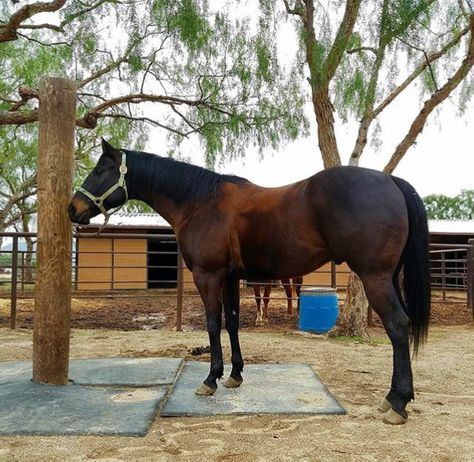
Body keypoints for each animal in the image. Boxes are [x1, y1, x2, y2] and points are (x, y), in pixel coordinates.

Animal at [68, 139, 432, 424]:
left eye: (99, 170)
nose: (73, 209)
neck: (199, 202)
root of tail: (391, 181)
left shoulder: (208, 276)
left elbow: (212, 324)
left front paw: (210, 379)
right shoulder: (230, 278)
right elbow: (232, 322)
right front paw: (234, 375)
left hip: (375, 277)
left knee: (398, 326)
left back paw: (398, 403)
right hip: (389, 277)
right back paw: (393, 398)